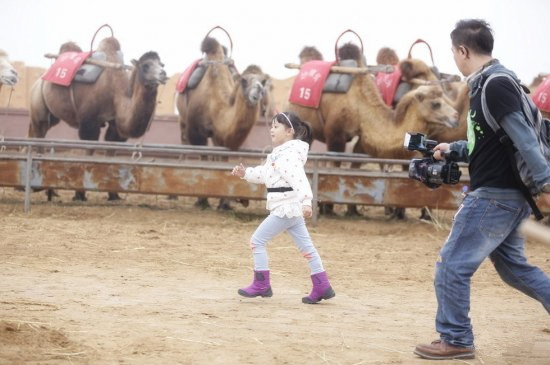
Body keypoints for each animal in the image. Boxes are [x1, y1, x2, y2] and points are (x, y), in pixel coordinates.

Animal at [29, 36, 168, 199]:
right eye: (145, 66)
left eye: (161, 64)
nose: (163, 74)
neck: (116, 92)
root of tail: (39, 80)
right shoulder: (89, 122)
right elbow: (89, 151)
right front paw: (80, 194)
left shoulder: (115, 125)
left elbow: (111, 151)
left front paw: (113, 195)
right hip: (39, 105)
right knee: (39, 132)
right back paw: (38, 185)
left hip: (51, 115)